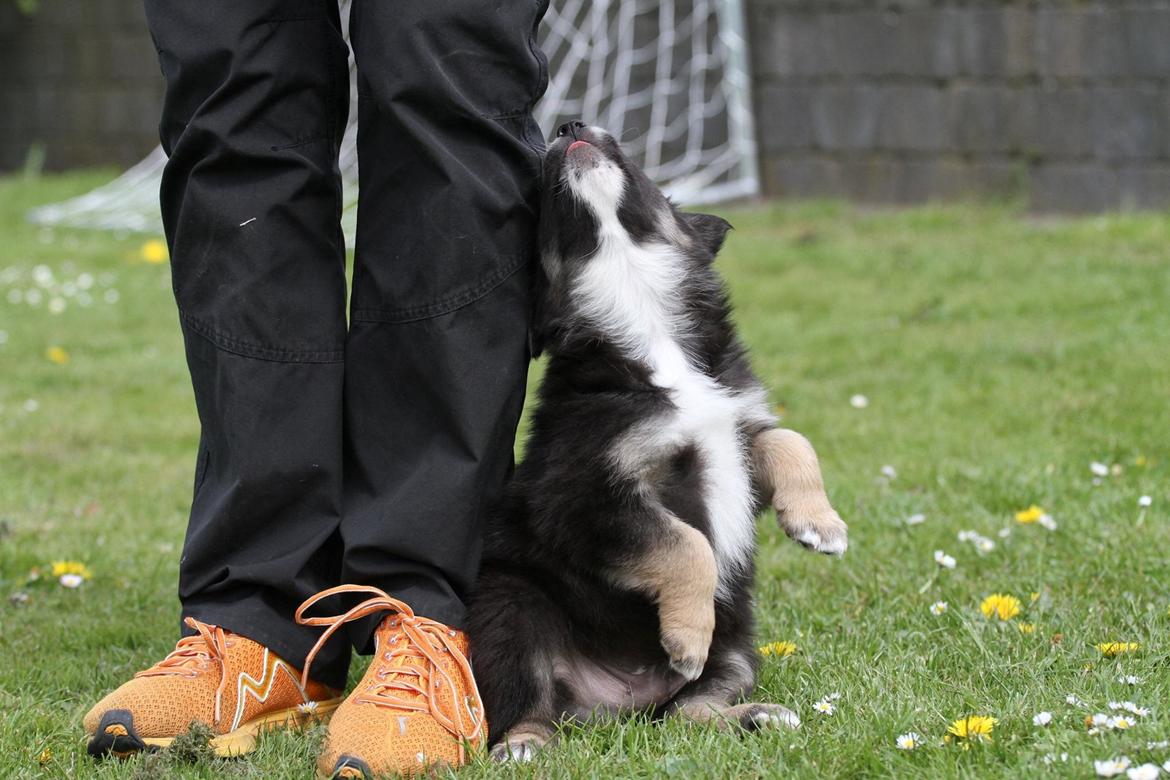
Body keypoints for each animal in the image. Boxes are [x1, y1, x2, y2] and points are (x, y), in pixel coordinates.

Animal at [467, 123, 851, 762]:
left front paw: (820, 525)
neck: (645, 322)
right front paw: (687, 635)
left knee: (688, 712)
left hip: (739, 649)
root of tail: (615, 705)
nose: (570, 126)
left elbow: (791, 440)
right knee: (528, 698)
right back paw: (525, 745)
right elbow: (684, 543)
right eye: (547, 210)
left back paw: (756, 716)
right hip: (514, 609)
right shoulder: (586, 494)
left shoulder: (737, 424)